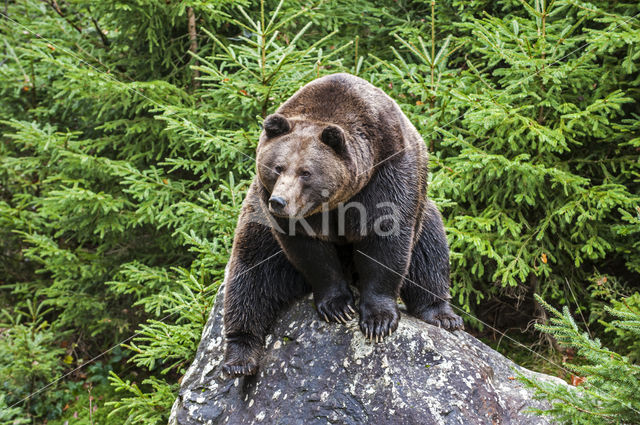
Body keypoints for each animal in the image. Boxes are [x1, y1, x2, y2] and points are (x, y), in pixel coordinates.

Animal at [222, 72, 462, 374]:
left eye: (305, 172)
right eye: (277, 167)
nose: (279, 202)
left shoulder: (387, 175)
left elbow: (386, 242)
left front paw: (378, 320)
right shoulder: (288, 214)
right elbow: (310, 253)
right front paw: (338, 306)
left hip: (425, 211)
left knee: (430, 253)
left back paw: (443, 315)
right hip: (258, 225)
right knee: (249, 276)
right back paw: (240, 358)